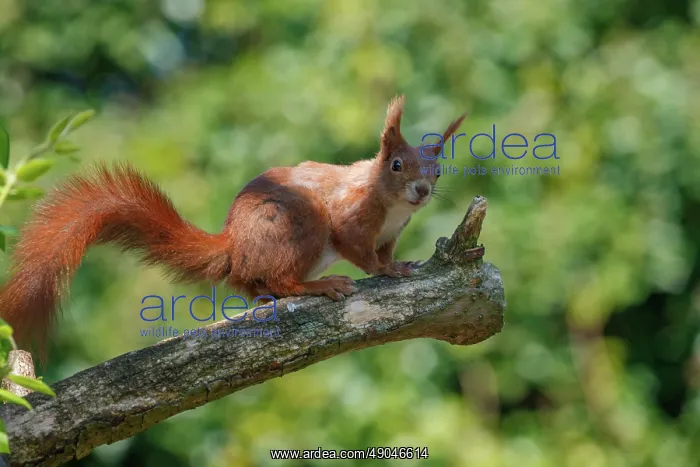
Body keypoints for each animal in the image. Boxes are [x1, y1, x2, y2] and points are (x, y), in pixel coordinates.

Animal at [0, 95, 466, 351]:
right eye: (396, 164)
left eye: (439, 170)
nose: (422, 191)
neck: (391, 206)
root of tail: (234, 246)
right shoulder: (351, 216)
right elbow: (361, 251)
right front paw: (385, 272)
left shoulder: (392, 232)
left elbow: (385, 253)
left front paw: (399, 265)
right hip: (300, 224)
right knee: (279, 281)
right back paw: (319, 286)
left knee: (255, 286)